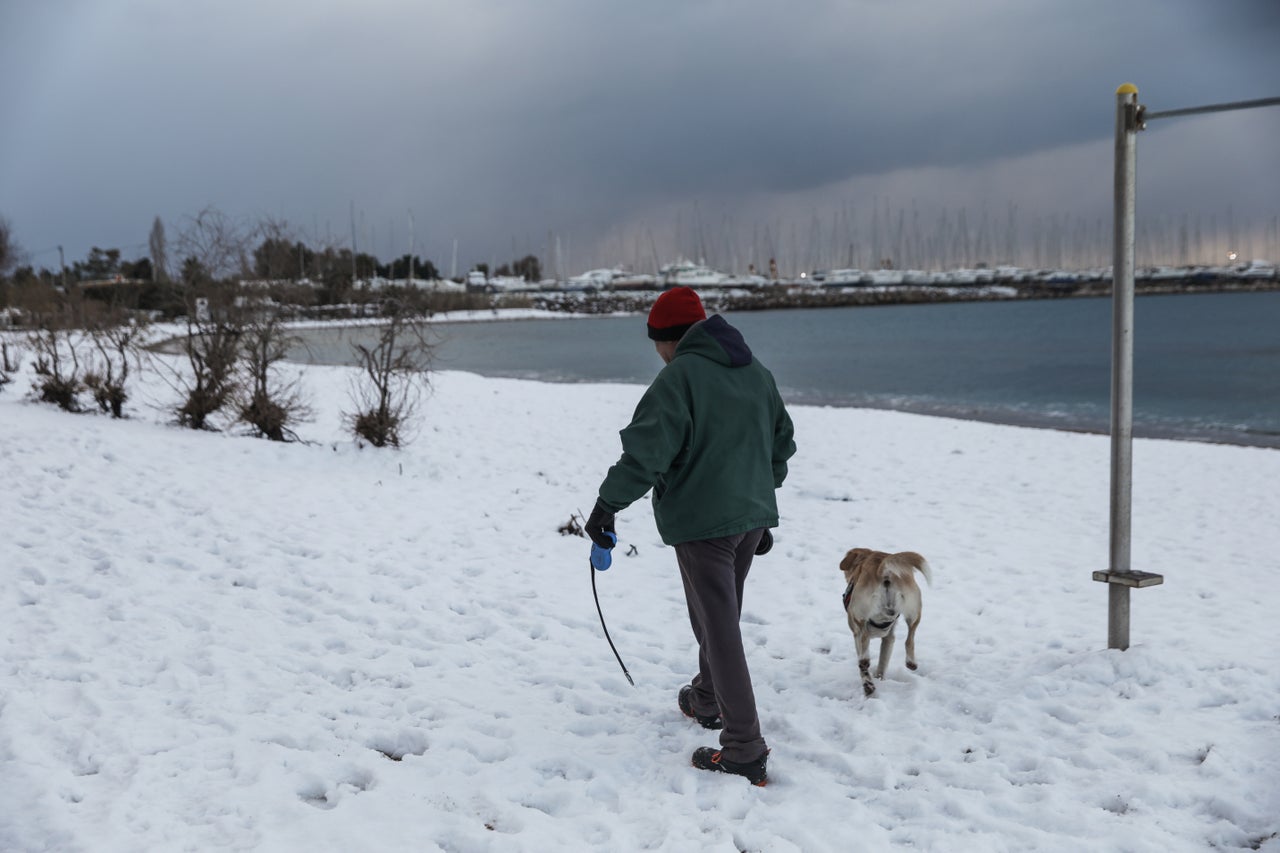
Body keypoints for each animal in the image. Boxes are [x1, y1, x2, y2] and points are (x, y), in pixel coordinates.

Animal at [839, 548, 931, 696]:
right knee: (910, 638)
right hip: (914, 610)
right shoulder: (889, 638)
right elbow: (883, 662)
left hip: (858, 610)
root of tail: (884, 570)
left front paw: (868, 682)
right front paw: (877, 679)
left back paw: (865, 660)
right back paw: (911, 662)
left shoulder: (855, 633)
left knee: (864, 637)